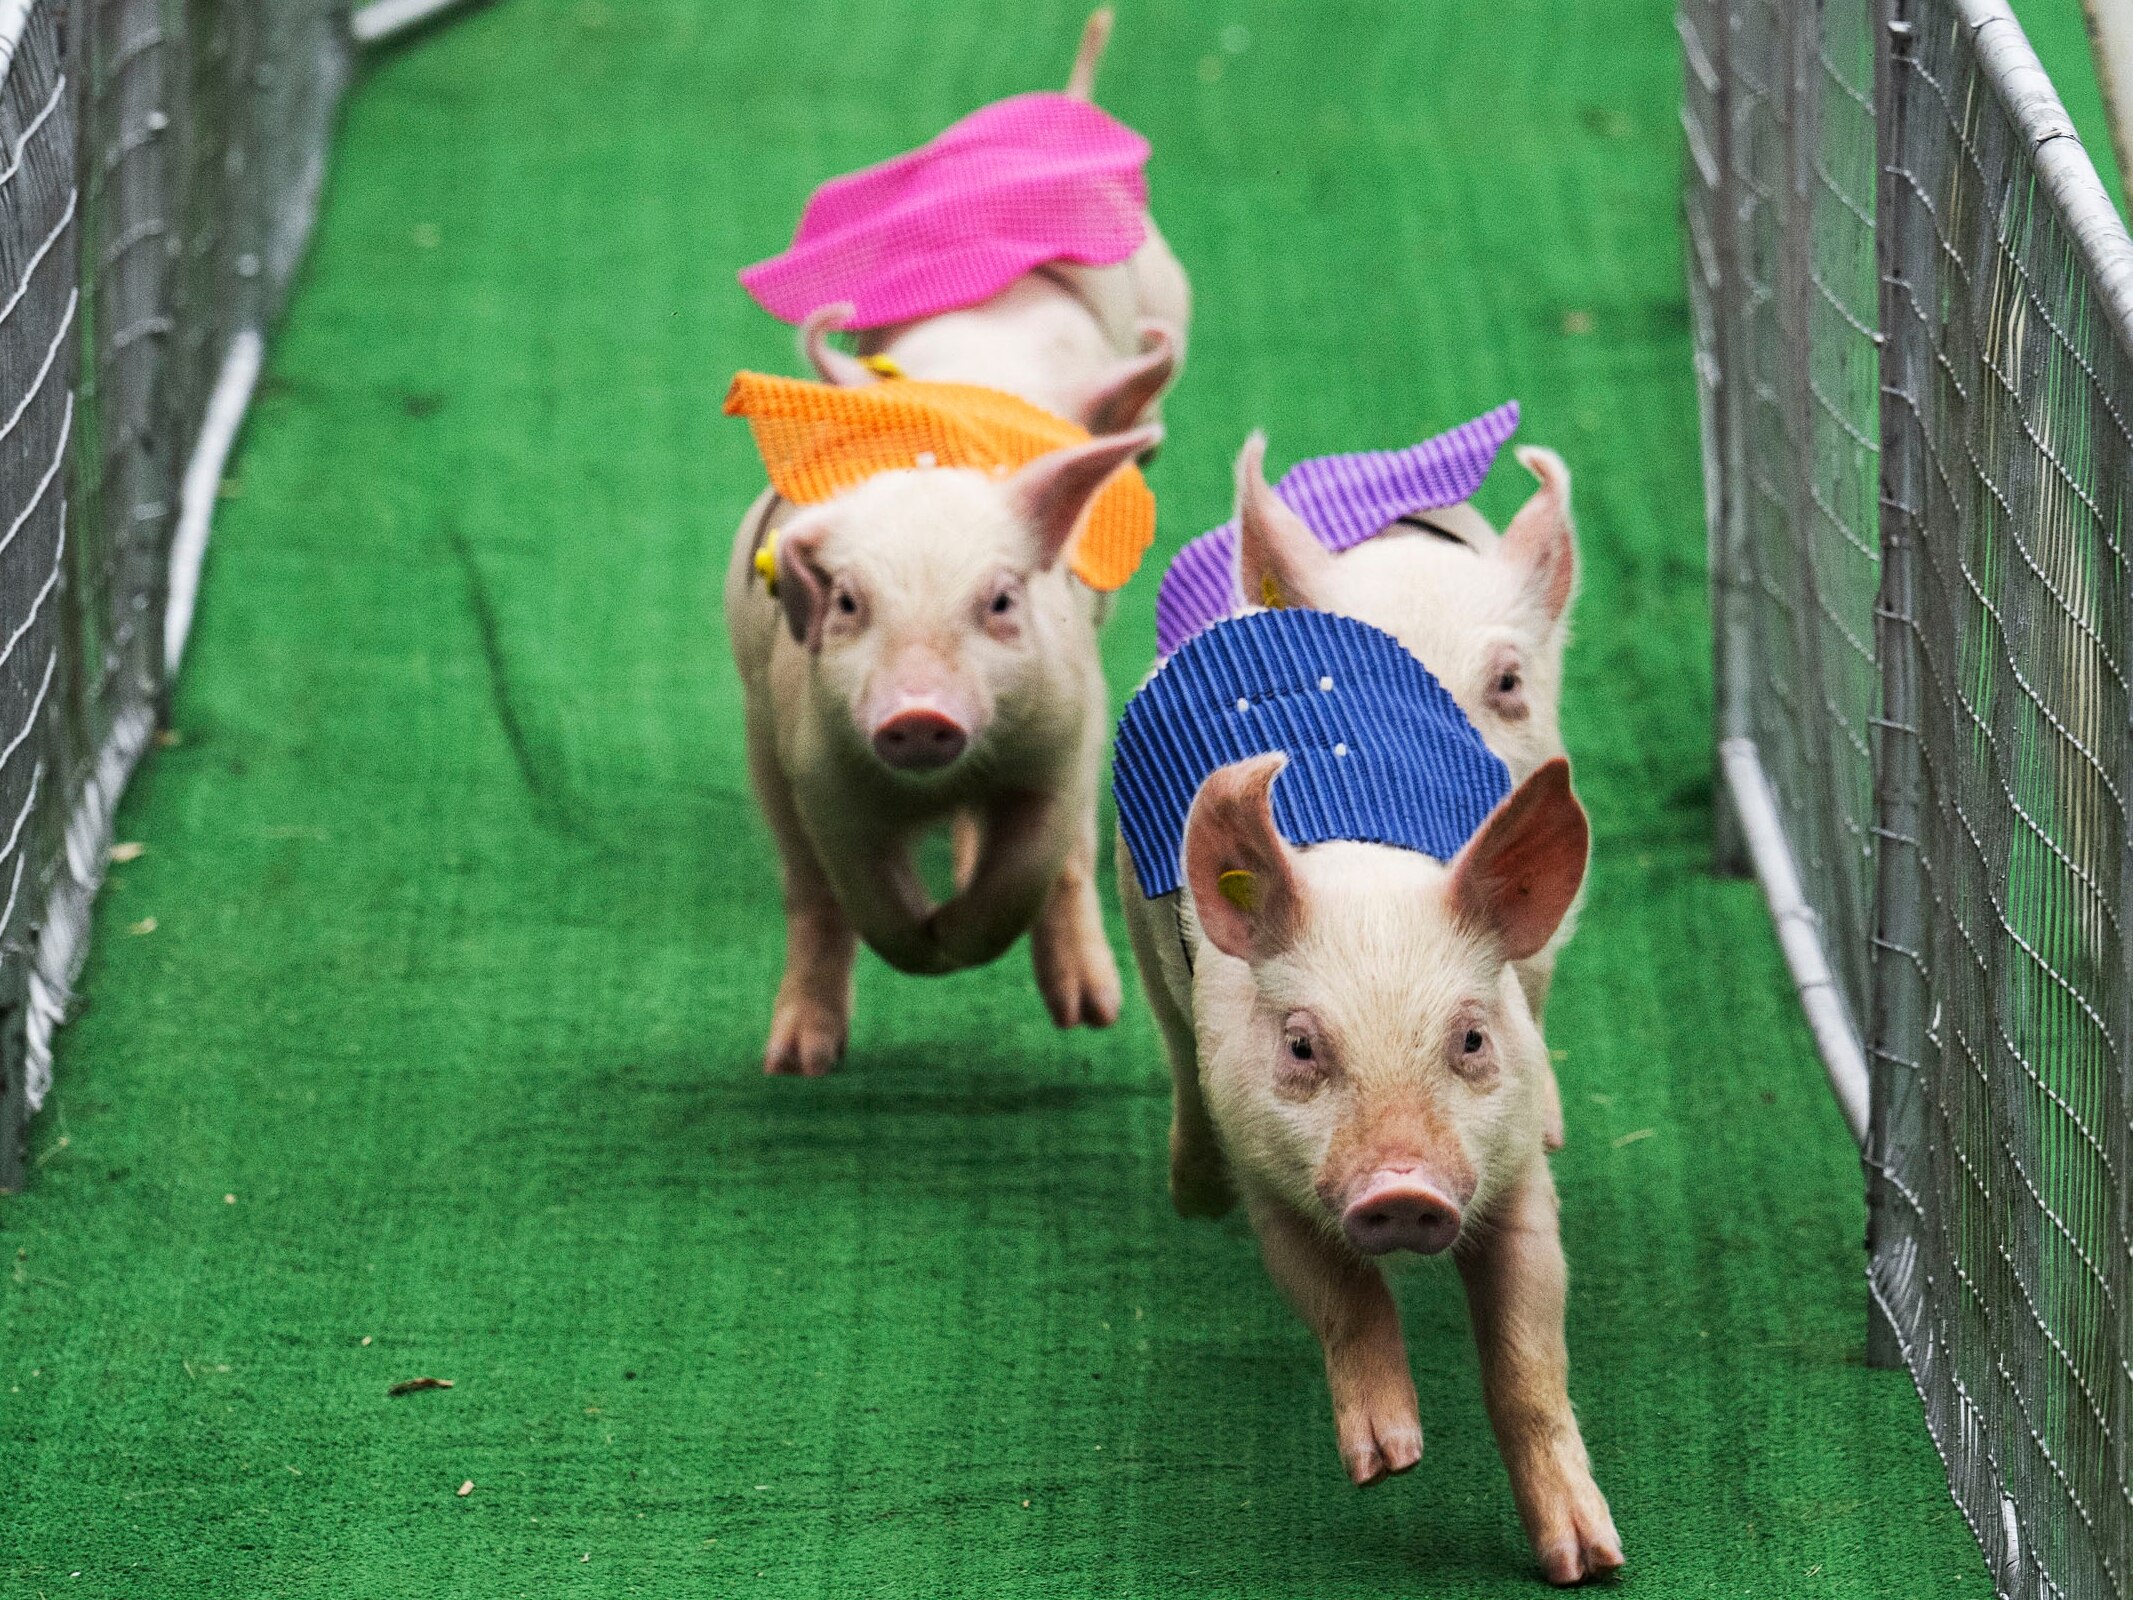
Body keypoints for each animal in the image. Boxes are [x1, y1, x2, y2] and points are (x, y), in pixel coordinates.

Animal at [1116, 748, 1623, 1586]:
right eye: (1300, 1045)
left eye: (1471, 1038)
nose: (1403, 1186)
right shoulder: (1267, 1179)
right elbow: (1341, 1296)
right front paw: (1389, 1465)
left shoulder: (1515, 1177)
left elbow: (1527, 1358)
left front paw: (1587, 1564)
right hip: (1136, 911)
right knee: (1171, 1038)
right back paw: (1192, 1195)